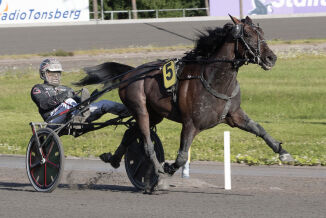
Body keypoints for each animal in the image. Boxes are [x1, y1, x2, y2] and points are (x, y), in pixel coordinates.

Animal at [76, 14, 292, 192]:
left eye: (261, 32)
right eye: (247, 34)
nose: (271, 58)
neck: (214, 78)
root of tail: (131, 72)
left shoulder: (234, 114)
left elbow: (260, 129)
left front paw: (283, 152)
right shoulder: (191, 123)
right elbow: (181, 157)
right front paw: (167, 168)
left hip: (155, 114)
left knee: (130, 134)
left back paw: (113, 159)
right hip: (140, 108)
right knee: (146, 143)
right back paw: (156, 172)